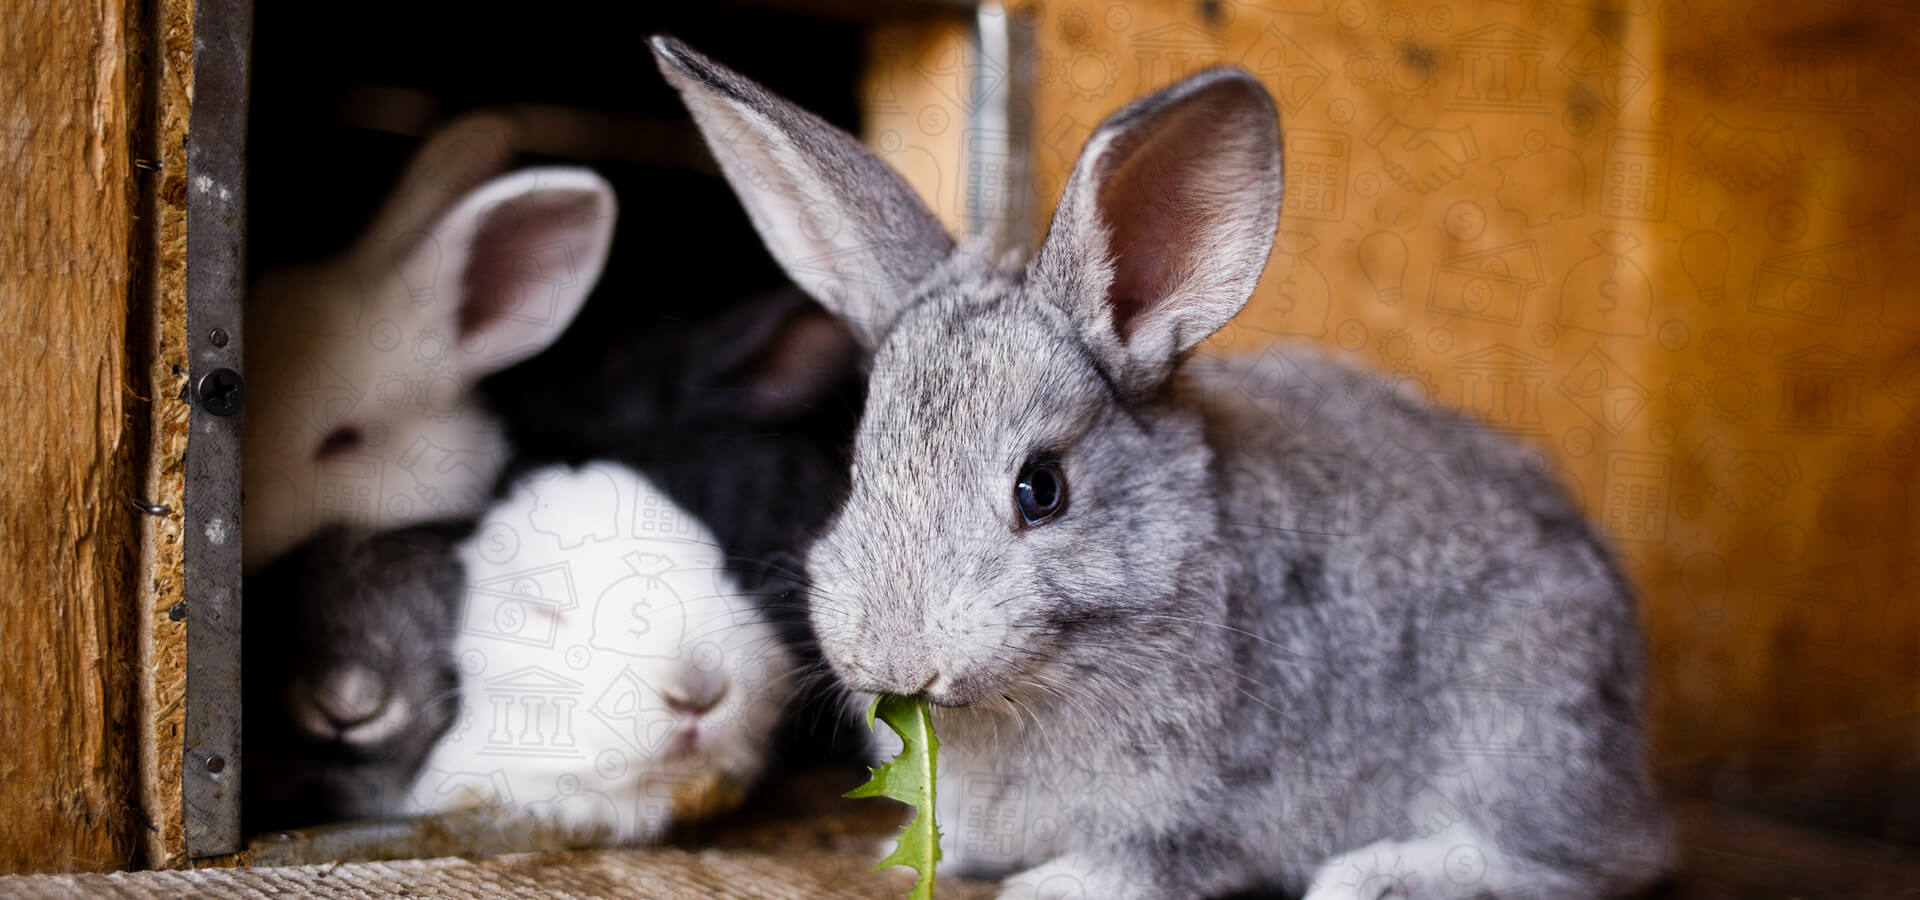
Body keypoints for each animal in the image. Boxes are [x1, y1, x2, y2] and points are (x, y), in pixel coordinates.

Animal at [652, 35, 1674, 898]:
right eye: (857, 472)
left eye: (1041, 490)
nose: (899, 661)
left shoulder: (1217, 806)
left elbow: (1155, 856)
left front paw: (1047, 887)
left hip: (1519, 730)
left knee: (1579, 865)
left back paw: (1382, 876)